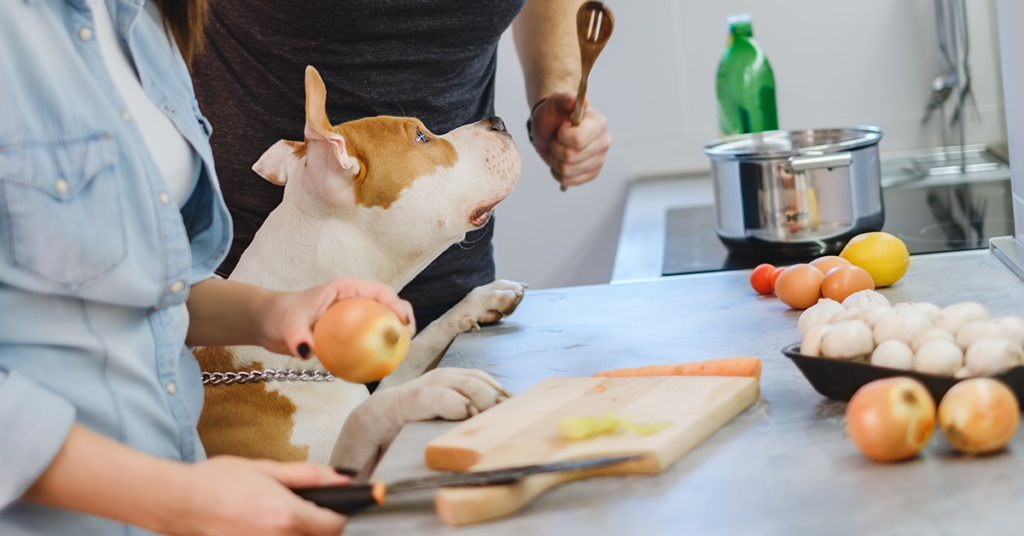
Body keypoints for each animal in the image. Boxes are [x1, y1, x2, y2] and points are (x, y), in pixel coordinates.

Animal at [194, 65, 524, 475]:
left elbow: (413, 351)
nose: (498, 121)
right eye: (421, 136)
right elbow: (362, 418)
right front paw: (437, 388)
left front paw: (478, 301)